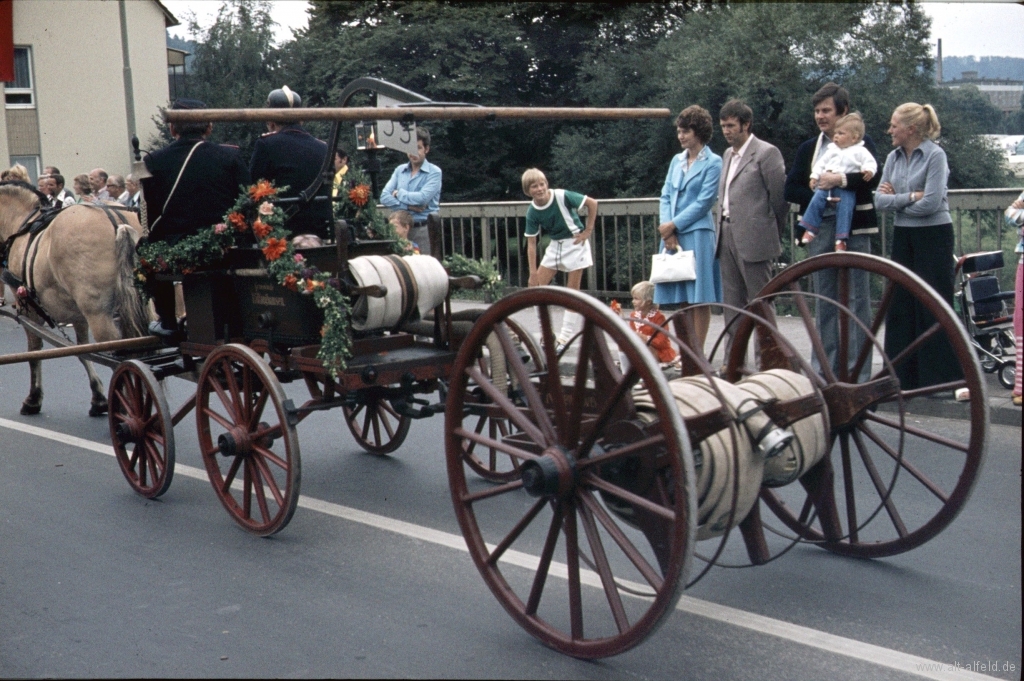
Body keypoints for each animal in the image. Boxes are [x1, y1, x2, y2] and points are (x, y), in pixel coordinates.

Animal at [0, 180, 150, 413]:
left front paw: (33, 398)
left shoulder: (28, 309)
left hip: (99, 315)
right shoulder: (78, 316)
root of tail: (115, 219)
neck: (23, 222)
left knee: (119, 356)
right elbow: (83, 351)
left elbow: (34, 352)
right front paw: (98, 396)